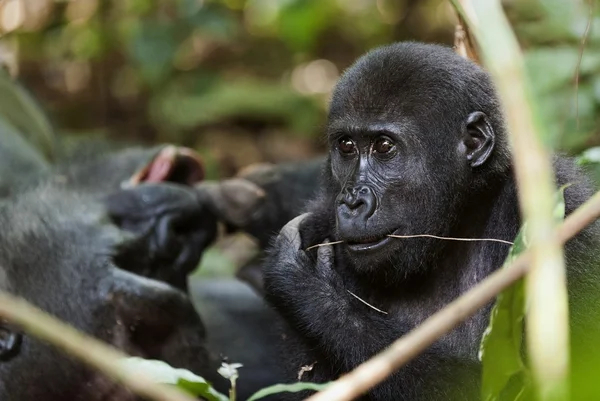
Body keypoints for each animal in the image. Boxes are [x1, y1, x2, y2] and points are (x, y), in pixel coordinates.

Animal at [262, 42, 600, 398]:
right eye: (347, 146)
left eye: (384, 146)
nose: (352, 202)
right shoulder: (320, 221)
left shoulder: (565, 223)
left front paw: (310, 290)